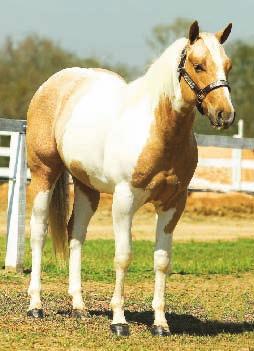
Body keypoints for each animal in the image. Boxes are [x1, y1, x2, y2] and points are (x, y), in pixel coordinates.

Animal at [26, 21, 235, 336]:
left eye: (228, 65)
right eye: (198, 65)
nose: (225, 114)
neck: (159, 130)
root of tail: (53, 84)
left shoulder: (174, 204)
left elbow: (162, 260)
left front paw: (160, 323)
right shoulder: (124, 200)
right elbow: (123, 257)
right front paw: (119, 322)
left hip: (87, 187)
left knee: (76, 234)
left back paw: (79, 307)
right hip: (44, 173)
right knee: (39, 231)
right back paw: (35, 305)